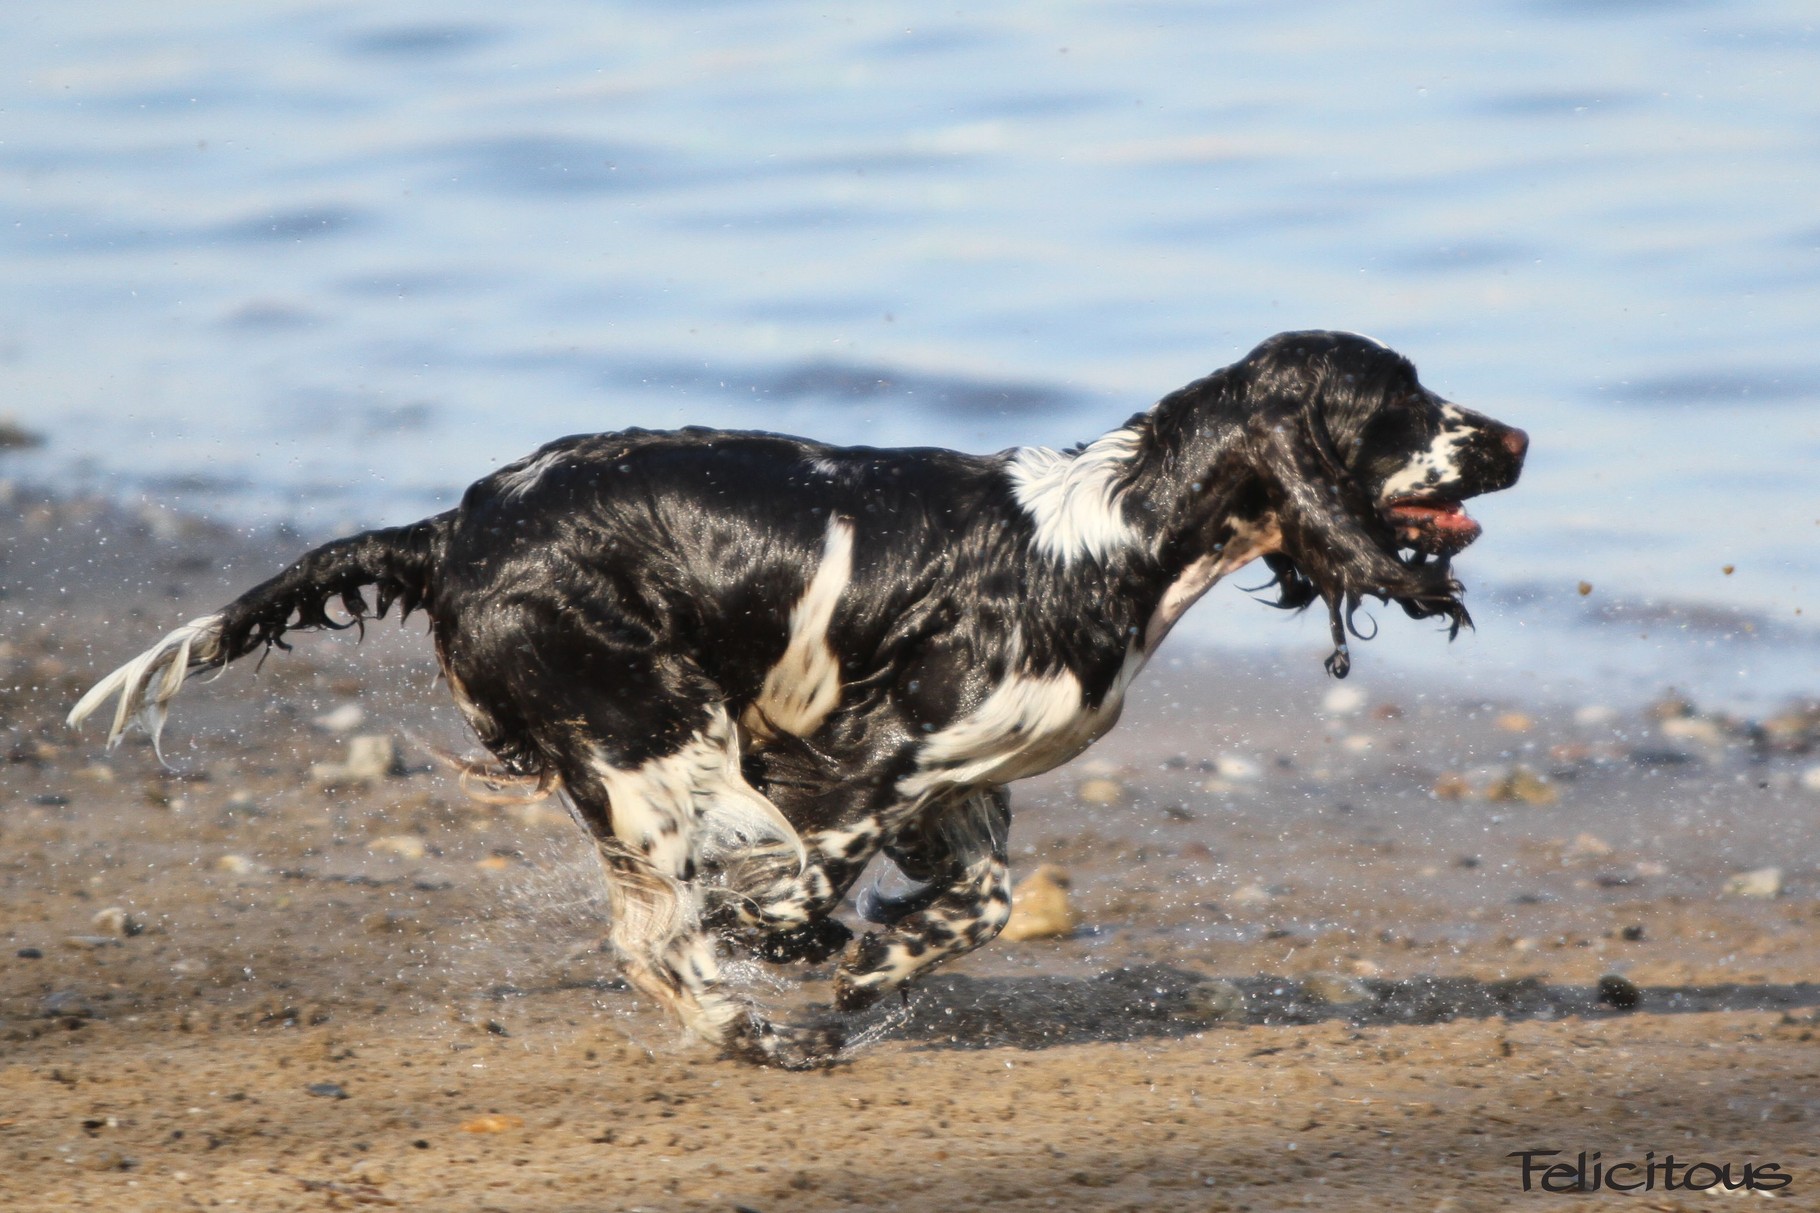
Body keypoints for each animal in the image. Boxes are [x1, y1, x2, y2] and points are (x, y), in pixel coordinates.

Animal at [67, 327, 1521, 1056]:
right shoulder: (865, 752)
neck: (1114, 531)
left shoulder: (951, 787)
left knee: (651, 933)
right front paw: (819, 955)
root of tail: (451, 530)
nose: (1514, 436)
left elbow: (979, 905)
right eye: (1401, 401)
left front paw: (877, 967)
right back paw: (761, 1024)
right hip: (657, 729)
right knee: (655, 931)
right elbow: (808, 891)